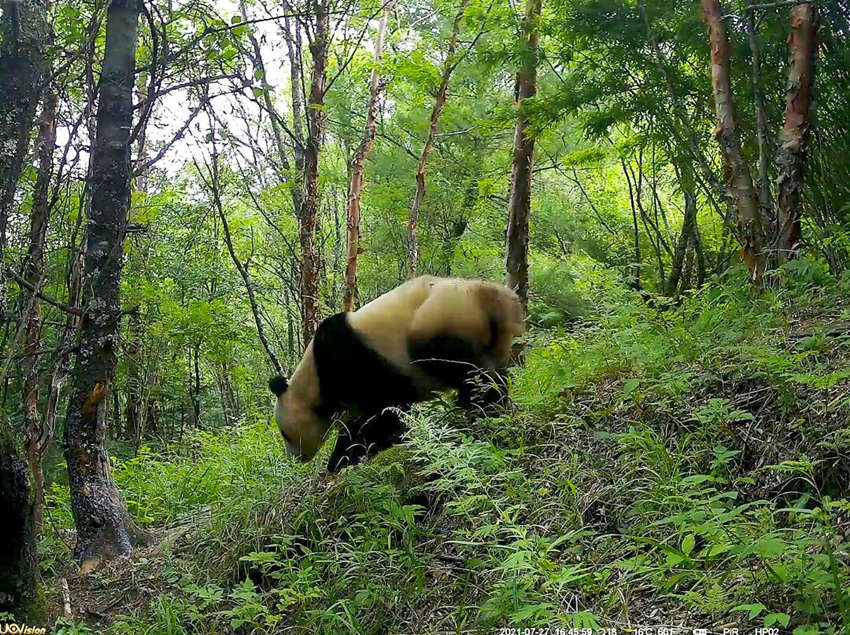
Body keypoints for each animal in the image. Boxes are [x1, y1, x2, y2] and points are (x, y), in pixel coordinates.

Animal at [270, 278, 524, 472]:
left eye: (284, 433)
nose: (295, 458)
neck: (313, 377)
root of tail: (497, 298)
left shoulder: (352, 361)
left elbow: (377, 412)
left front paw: (345, 458)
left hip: (441, 319)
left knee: (465, 369)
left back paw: (481, 406)